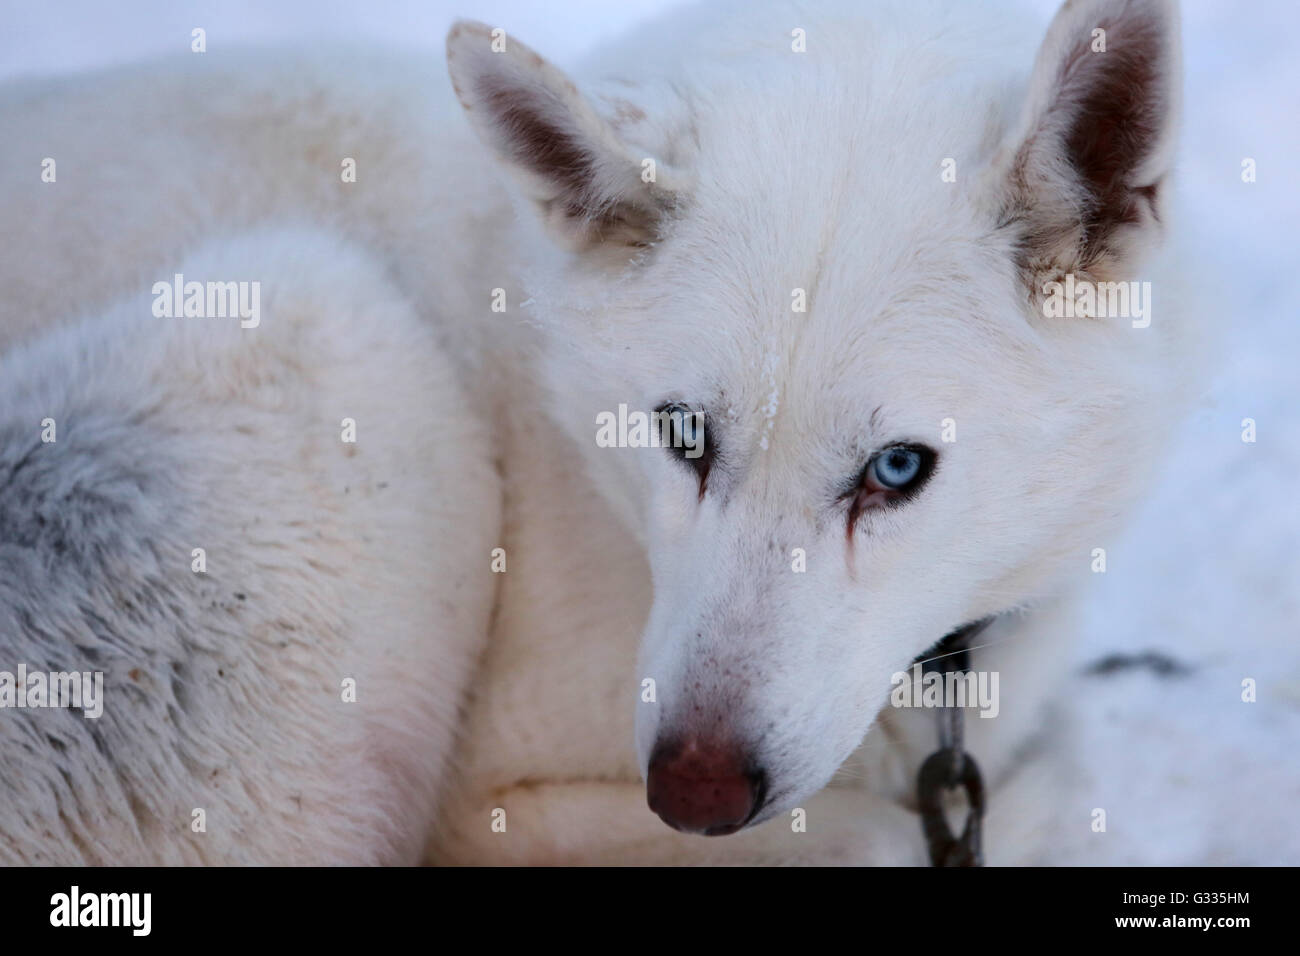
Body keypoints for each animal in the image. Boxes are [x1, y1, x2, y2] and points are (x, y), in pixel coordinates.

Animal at [0, 0, 1185, 868]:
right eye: (684, 431)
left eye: (897, 468)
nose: (693, 792)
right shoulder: (496, 808)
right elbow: (887, 837)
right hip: (325, 320)